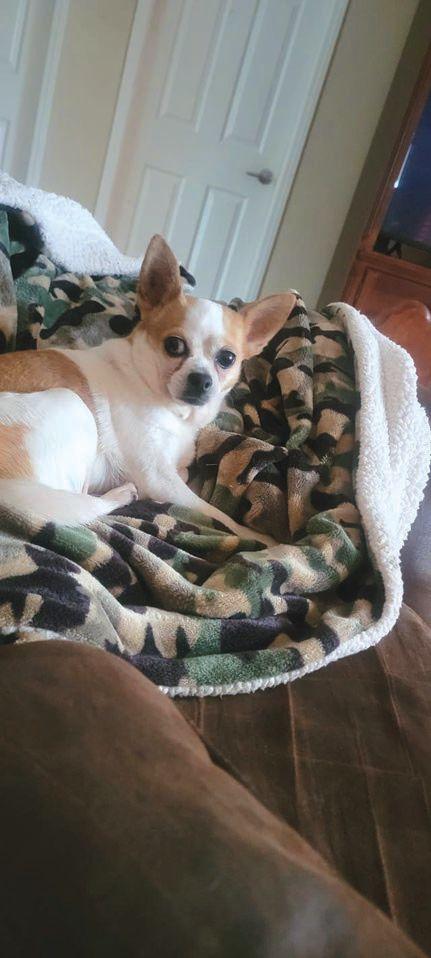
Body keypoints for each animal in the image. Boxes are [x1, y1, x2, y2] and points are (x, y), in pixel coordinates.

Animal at [0, 235, 294, 544]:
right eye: (174, 346)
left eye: (227, 358)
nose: (201, 379)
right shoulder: (159, 479)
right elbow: (219, 515)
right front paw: (268, 542)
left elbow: (186, 473)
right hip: (72, 404)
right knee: (83, 502)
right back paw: (120, 494)